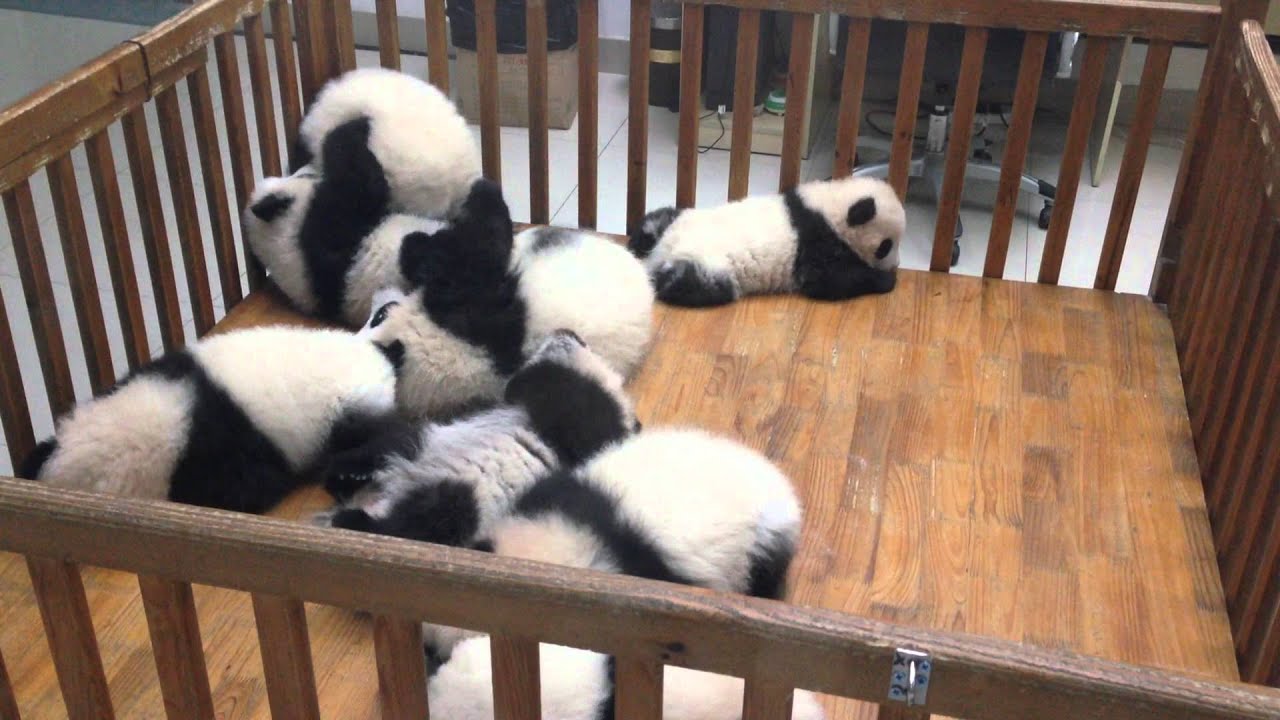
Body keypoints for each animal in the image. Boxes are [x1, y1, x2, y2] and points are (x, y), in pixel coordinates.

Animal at [243, 116, 511, 326]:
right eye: (304, 175)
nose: (306, 166)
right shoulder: (321, 231)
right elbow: (366, 185)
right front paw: (353, 127)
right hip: (437, 265)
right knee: (474, 247)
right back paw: (485, 194)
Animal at [313, 329, 640, 548]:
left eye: (585, 341)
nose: (569, 331)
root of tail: (383, 497)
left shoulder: (579, 419)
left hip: (466, 502)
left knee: (426, 522)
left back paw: (352, 520)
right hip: (426, 443)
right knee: (388, 446)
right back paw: (345, 476)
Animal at [628, 176, 905, 306]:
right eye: (886, 246)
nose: (896, 264)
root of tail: (662, 251)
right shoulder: (816, 241)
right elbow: (825, 280)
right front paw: (885, 280)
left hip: (672, 220)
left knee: (653, 220)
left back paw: (635, 246)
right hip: (708, 268)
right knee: (689, 285)